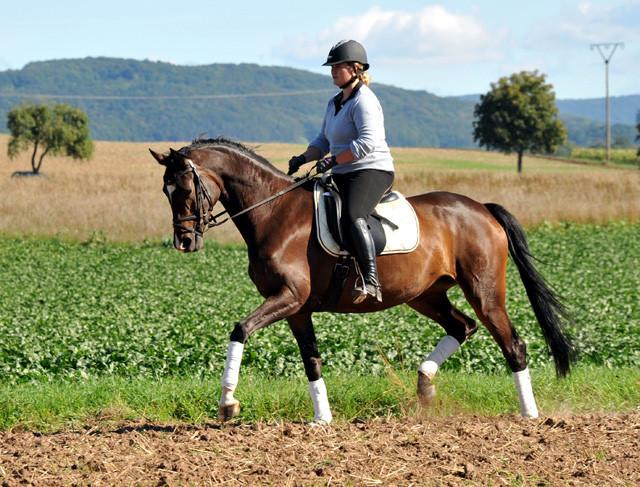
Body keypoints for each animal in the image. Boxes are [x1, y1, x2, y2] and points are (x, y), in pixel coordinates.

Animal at [150, 136, 576, 424]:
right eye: (165, 191)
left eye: (185, 187)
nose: (183, 241)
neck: (274, 213)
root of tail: (481, 209)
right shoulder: (296, 308)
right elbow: (311, 360)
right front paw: (322, 419)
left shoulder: (289, 296)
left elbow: (240, 329)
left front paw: (227, 403)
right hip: (425, 295)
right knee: (462, 326)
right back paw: (424, 386)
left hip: (484, 292)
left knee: (512, 344)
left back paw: (530, 415)